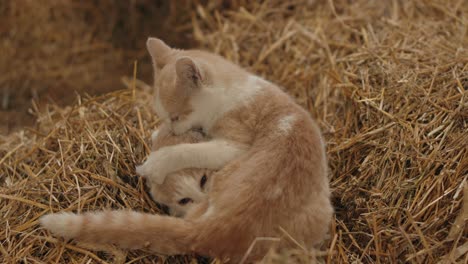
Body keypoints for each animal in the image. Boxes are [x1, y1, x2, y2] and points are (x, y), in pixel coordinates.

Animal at [40, 36, 332, 262]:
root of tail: (215, 230)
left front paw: (156, 163)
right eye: (165, 116)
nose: (172, 128)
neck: (236, 91)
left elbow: (186, 150)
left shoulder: (234, 145)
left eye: (177, 116)